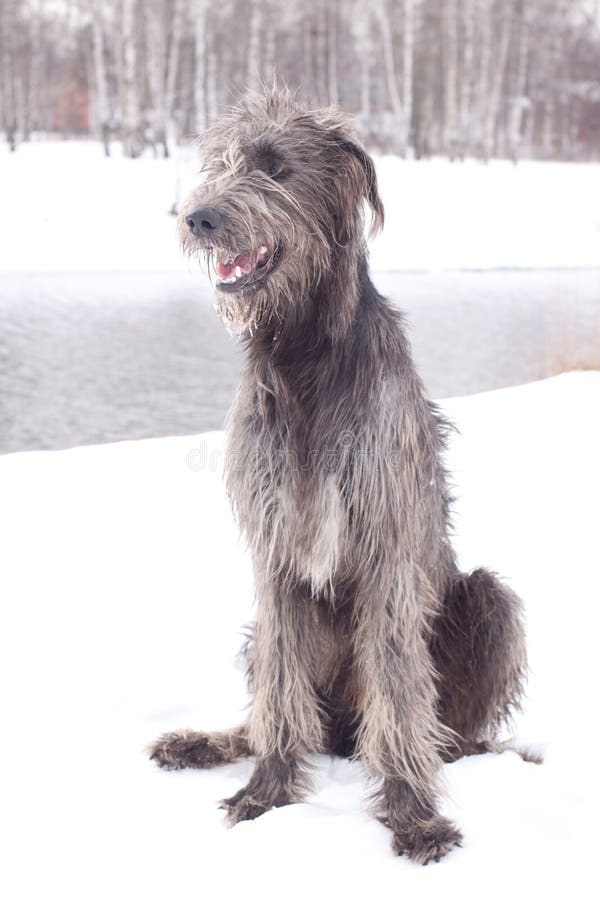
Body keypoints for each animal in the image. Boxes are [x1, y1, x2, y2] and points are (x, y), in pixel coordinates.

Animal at [150, 89, 528, 864]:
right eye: (221, 164)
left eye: (275, 169)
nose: (199, 218)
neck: (301, 357)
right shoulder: (273, 551)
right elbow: (280, 691)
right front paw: (267, 790)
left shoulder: (386, 550)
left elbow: (399, 688)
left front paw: (413, 813)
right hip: (258, 636)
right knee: (275, 707)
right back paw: (207, 743)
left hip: (488, 600)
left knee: (445, 717)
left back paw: (450, 751)